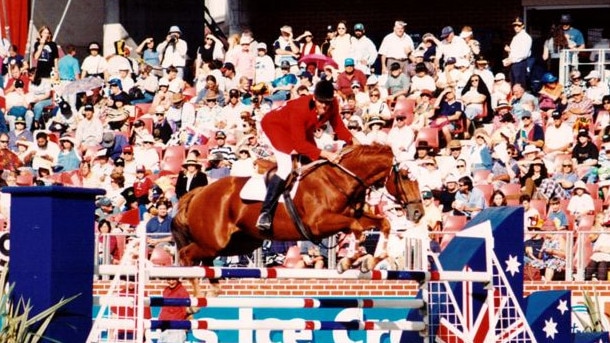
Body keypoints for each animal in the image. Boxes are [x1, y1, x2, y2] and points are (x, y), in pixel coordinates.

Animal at [171, 145, 422, 296]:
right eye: (405, 176)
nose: (418, 212)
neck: (340, 180)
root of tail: (199, 192)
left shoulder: (355, 215)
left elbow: (383, 224)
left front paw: (371, 260)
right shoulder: (318, 224)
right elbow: (357, 228)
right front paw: (351, 260)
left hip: (237, 243)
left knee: (206, 261)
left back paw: (212, 292)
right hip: (214, 241)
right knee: (186, 255)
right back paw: (197, 299)